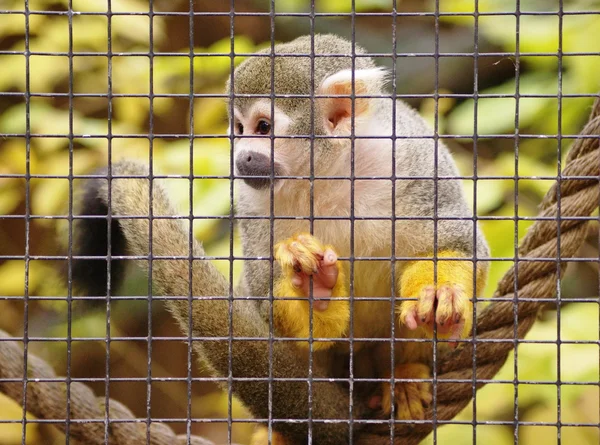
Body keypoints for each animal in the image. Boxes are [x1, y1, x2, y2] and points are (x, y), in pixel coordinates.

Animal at [71, 34, 488, 444]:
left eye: (263, 127)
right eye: (239, 129)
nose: (242, 157)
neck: (329, 172)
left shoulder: (410, 159)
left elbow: (458, 243)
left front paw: (440, 293)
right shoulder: (252, 201)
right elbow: (267, 292)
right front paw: (314, 290)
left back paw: (403, 375)